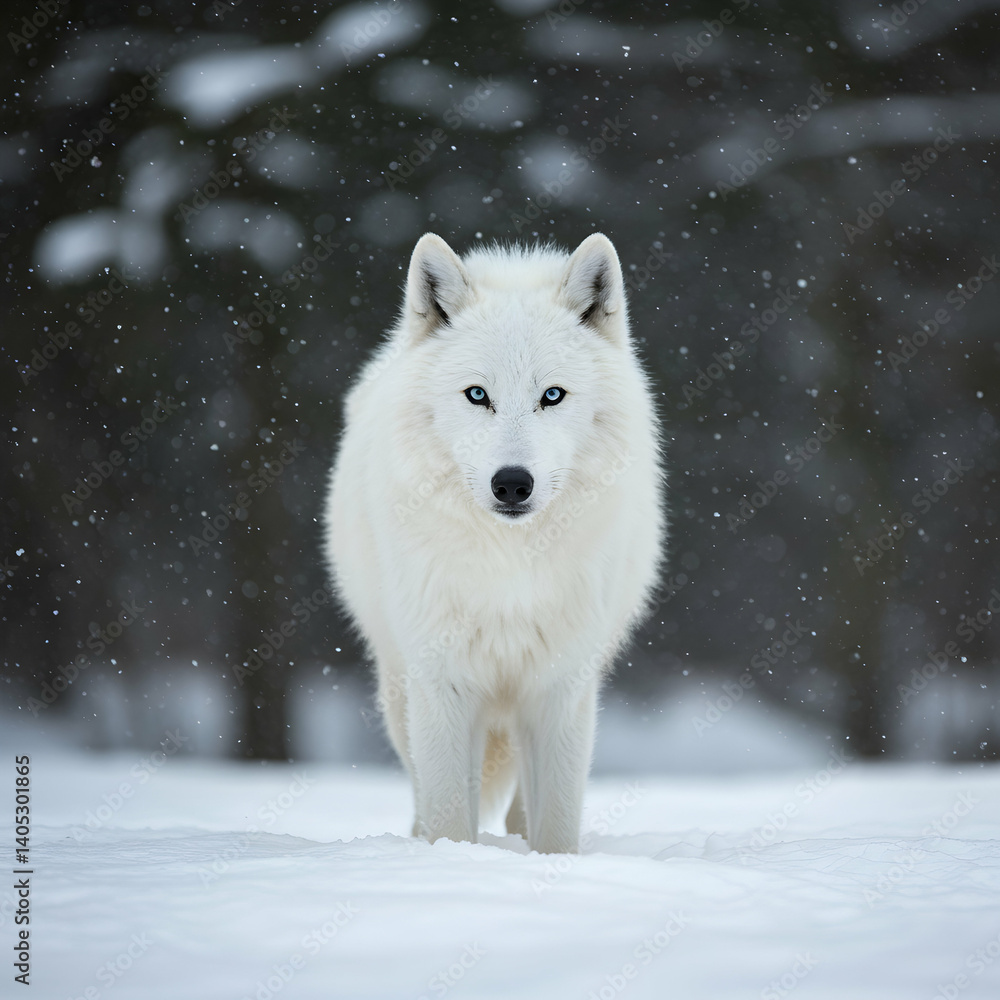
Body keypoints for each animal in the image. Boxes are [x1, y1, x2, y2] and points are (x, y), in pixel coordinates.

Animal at [325, 233, 664, 854]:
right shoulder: (442, 683)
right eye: (477, 394)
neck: (509, 567)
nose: (511, 483)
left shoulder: (561, 687)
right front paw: (453, 859)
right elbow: (448, 814)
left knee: (519, 810)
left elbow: (557, 822)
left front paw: (552, 862)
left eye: (552, 395)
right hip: (397, 689)